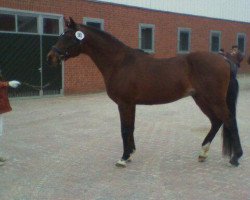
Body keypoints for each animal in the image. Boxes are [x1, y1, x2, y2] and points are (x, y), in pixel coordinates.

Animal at [47, 17, 242, 167]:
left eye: (69, 36)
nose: (51, 57)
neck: (120, 63)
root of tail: (224, 60)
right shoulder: (130, 104)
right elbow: (130, 128)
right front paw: (130, 153)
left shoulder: (124, 103)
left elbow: (125, 129)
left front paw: (123, 158)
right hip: (201, 98)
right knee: (216, 121)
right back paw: (203, 153)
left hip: (214, 99)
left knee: (229, 120)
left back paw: (235, 157)